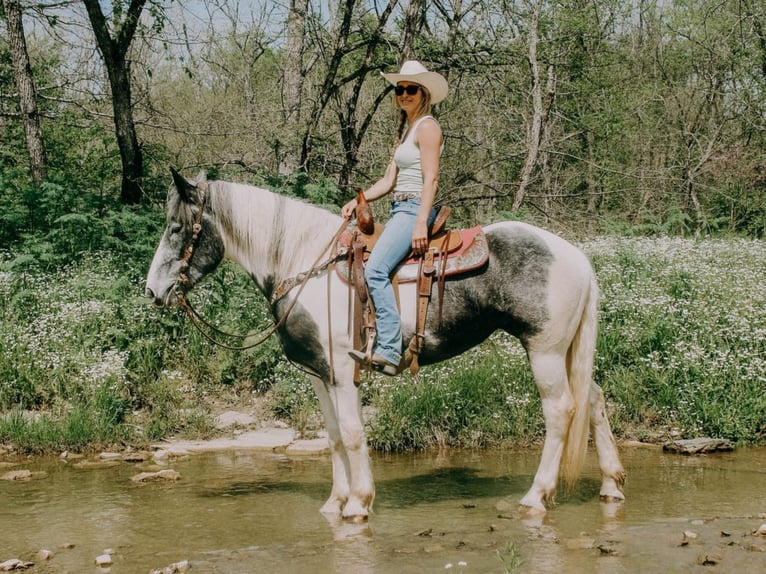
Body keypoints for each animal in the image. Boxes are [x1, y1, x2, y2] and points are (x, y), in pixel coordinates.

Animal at [147, 169, 628, 520]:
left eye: (177, 228)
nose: (154, 292)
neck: (304, 263)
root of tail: (578, 258)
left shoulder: (343, 371)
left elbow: (353, 433)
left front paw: (358, 503)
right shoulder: (320, 374)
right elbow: (334, 436)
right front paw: (334, 503)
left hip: (544, 351)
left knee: (561, 411)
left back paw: (536, 495)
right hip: (567, 352)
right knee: (594, 399)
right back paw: (611, 485)